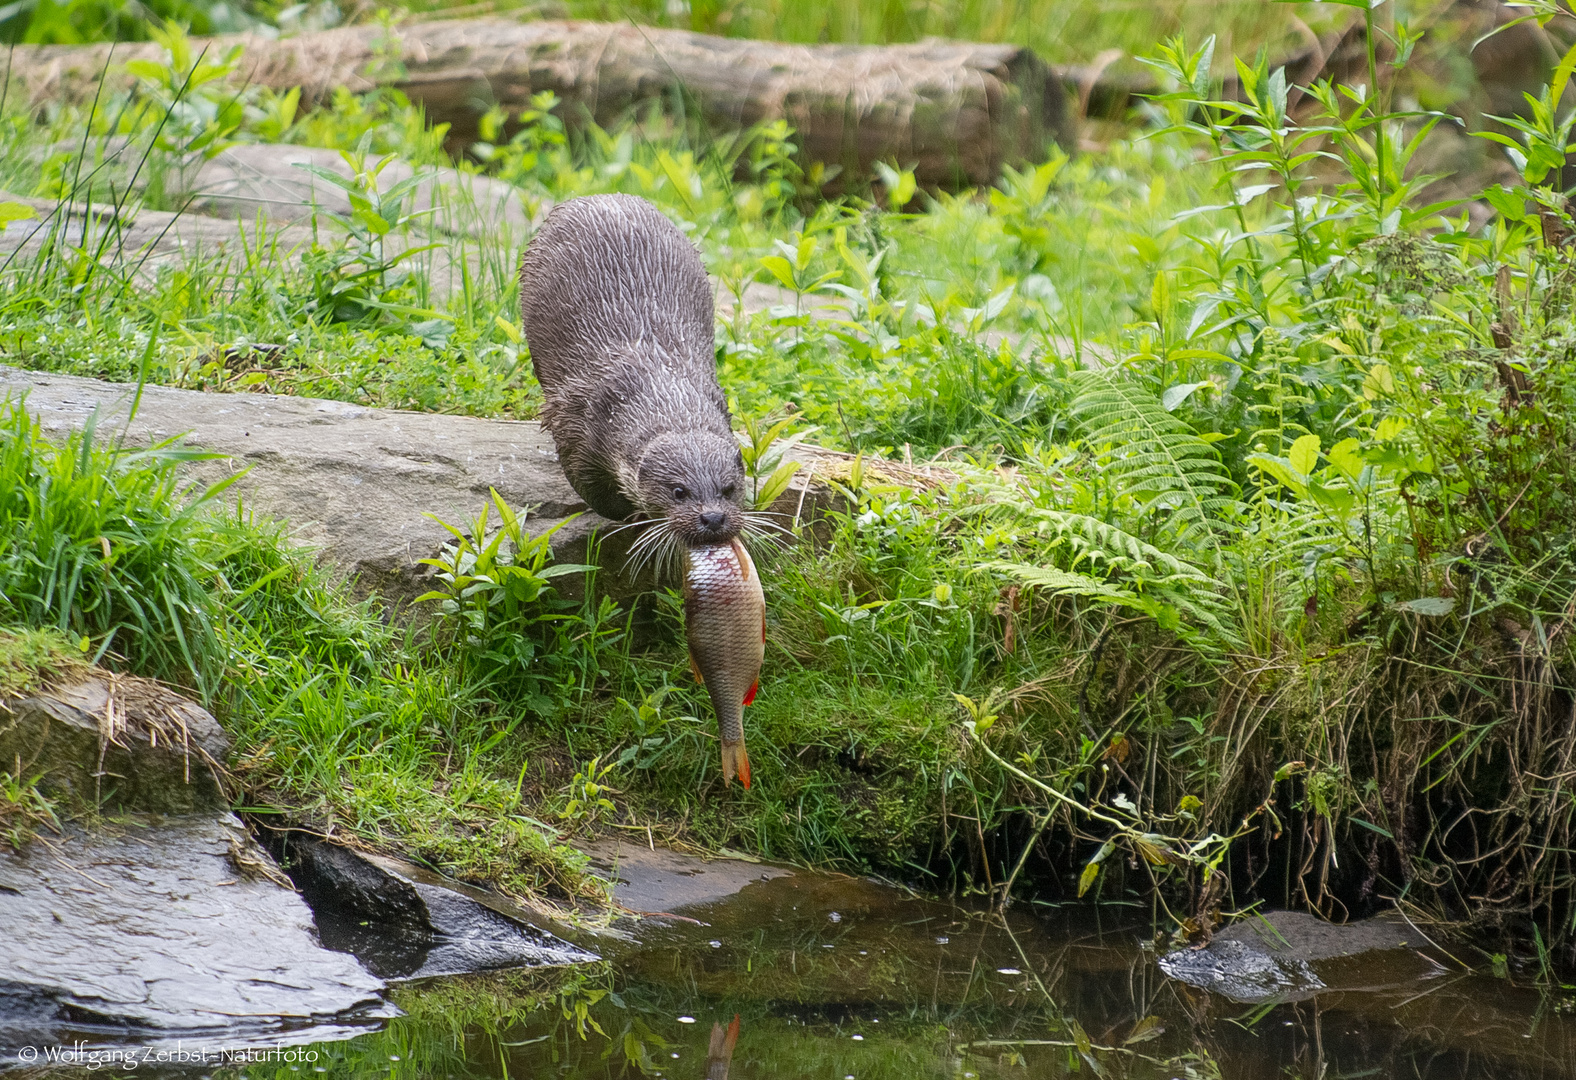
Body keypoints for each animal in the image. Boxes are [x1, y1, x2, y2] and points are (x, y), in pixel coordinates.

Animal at [520, 193, 747, 561]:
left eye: (728, 489)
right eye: (678, 491)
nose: (713, 517)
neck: (658, 380)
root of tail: (602, 196)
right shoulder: (577, 422)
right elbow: (592, 490)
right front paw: (634, 515)